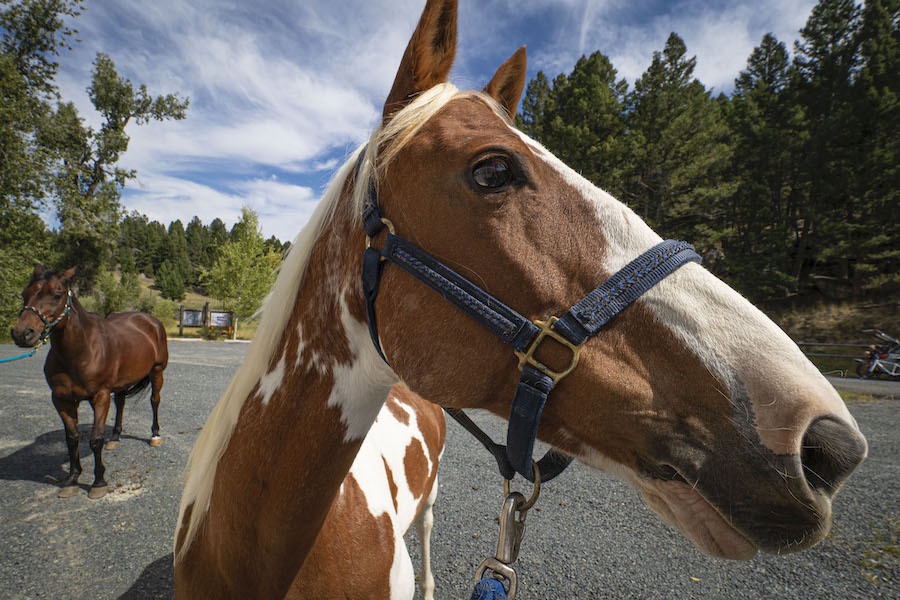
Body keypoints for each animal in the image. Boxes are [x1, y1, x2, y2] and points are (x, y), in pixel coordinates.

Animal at [10, 266, 169, 499]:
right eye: (24, 293)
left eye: (57, 295)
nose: (22, 334)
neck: (80, 352)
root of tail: (150, 320)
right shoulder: (61, 400)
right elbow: (72, 438)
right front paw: (72, 479)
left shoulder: (100, 396)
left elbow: (95, 439)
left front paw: (98, 482)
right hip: (121, 382)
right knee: (121, 402)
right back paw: (115, 438)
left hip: (157, 372)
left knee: (154, 401)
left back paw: (155, 435)